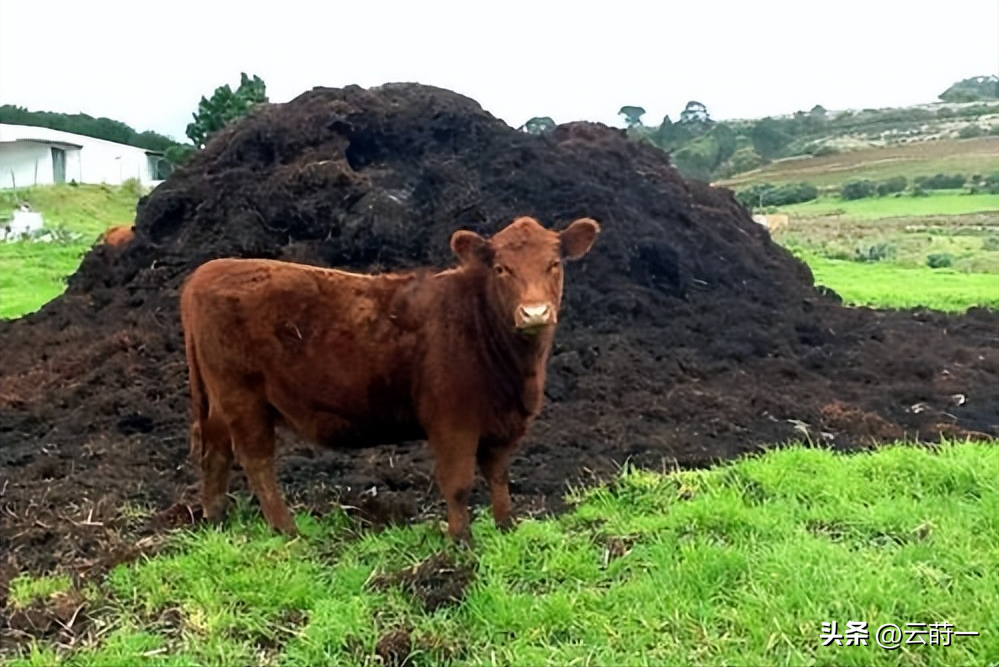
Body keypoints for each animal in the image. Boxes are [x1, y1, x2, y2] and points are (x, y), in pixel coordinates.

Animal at [179, 217, 596, 540]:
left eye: (554, 264)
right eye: (501, 269)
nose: (535, 312)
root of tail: (207, 270)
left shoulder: (503, 424)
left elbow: (498, 475)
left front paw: (506, 527)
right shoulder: (453, 421)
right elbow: (458, 482)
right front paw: (461, 541)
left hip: (220, 401)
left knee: (216, 452)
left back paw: (216, 521)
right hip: (242, 396)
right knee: (256, 459)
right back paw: (288, 530)